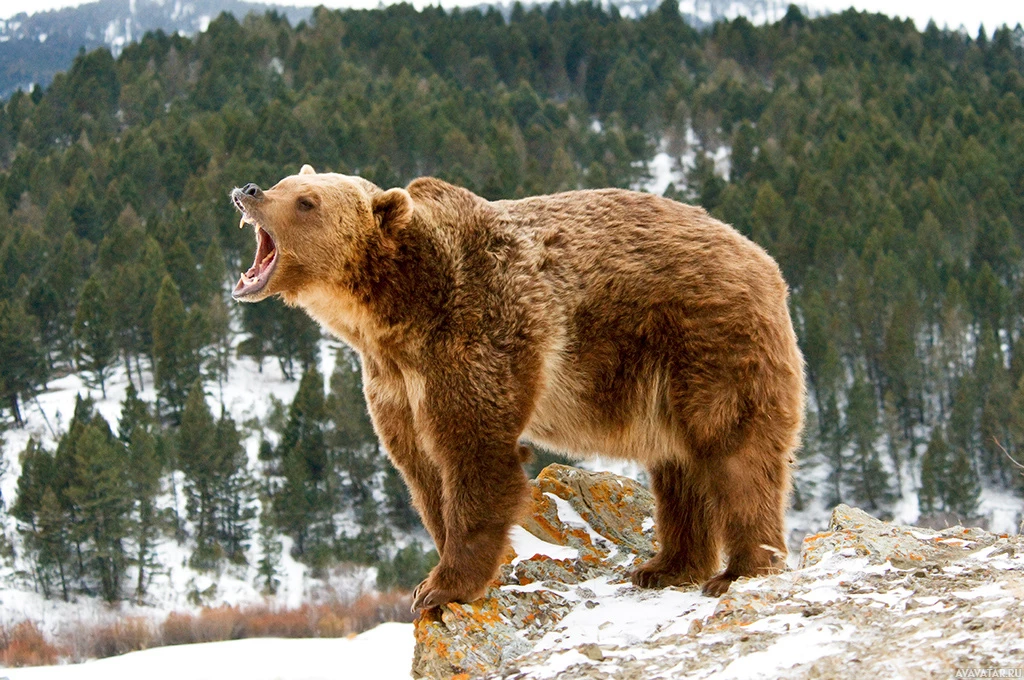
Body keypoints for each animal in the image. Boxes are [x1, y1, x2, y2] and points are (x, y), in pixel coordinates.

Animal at [232, 165, 806, 610]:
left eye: (306, 201)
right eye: (287, 181)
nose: (249, 190)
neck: (394, 314)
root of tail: (765, 261)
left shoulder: (477, 333)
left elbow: (476, 454)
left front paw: (441, 587)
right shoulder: (393, 381)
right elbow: (421, 469)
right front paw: (438, 571)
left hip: (708, 340)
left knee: (735, 452)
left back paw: (740, 570)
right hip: (662, 382)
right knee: (678, 466)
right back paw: (665, 566)